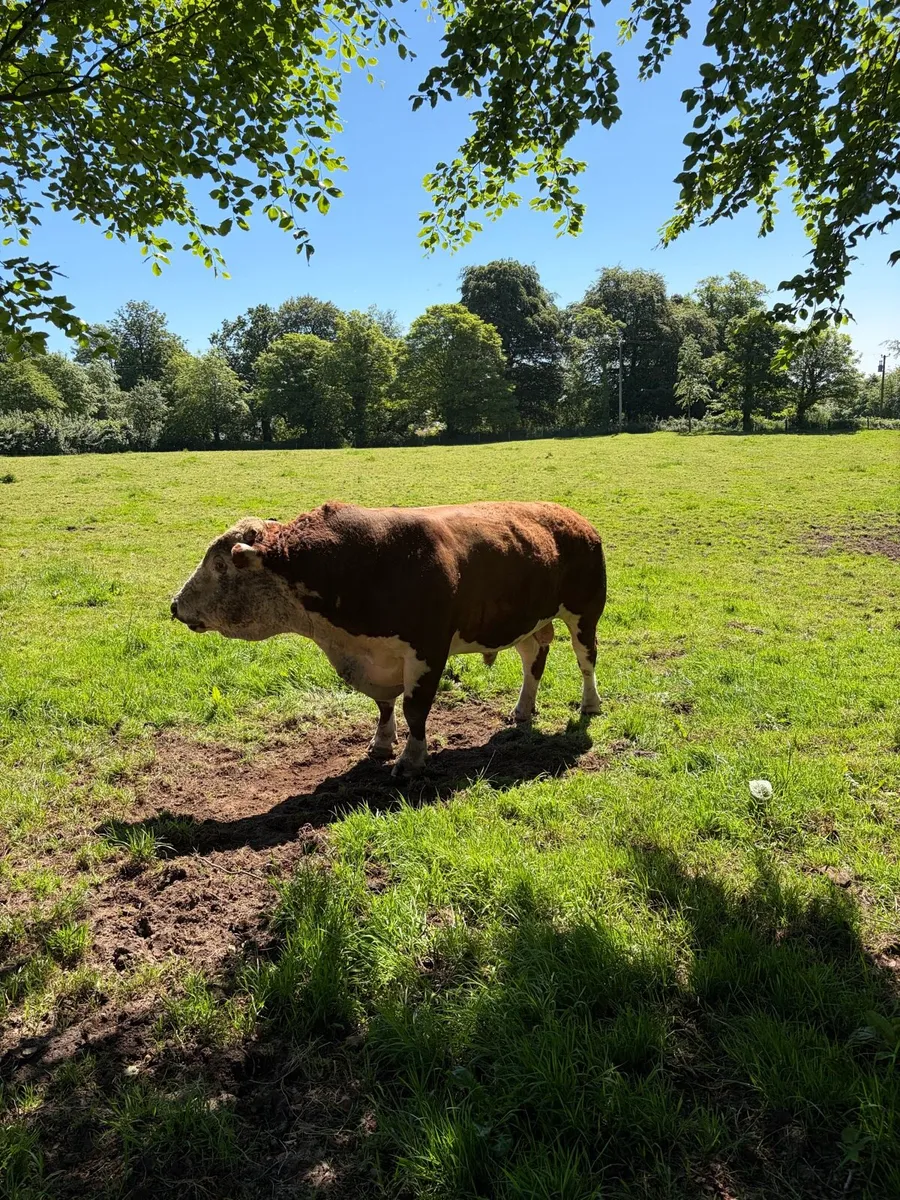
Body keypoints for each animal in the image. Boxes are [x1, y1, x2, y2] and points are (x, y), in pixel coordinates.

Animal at [171, 501, 607, 777]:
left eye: (221, 565)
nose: (175, 605)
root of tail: (572, 518)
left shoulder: (428, 649)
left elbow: (415, 709)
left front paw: (412, 759)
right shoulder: (375, 657)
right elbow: (383, 704)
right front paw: (382, 742)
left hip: (585, 614)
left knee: (586, 661)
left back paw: (590, 704)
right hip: (524, 621)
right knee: (532, 659)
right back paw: (523, 709)